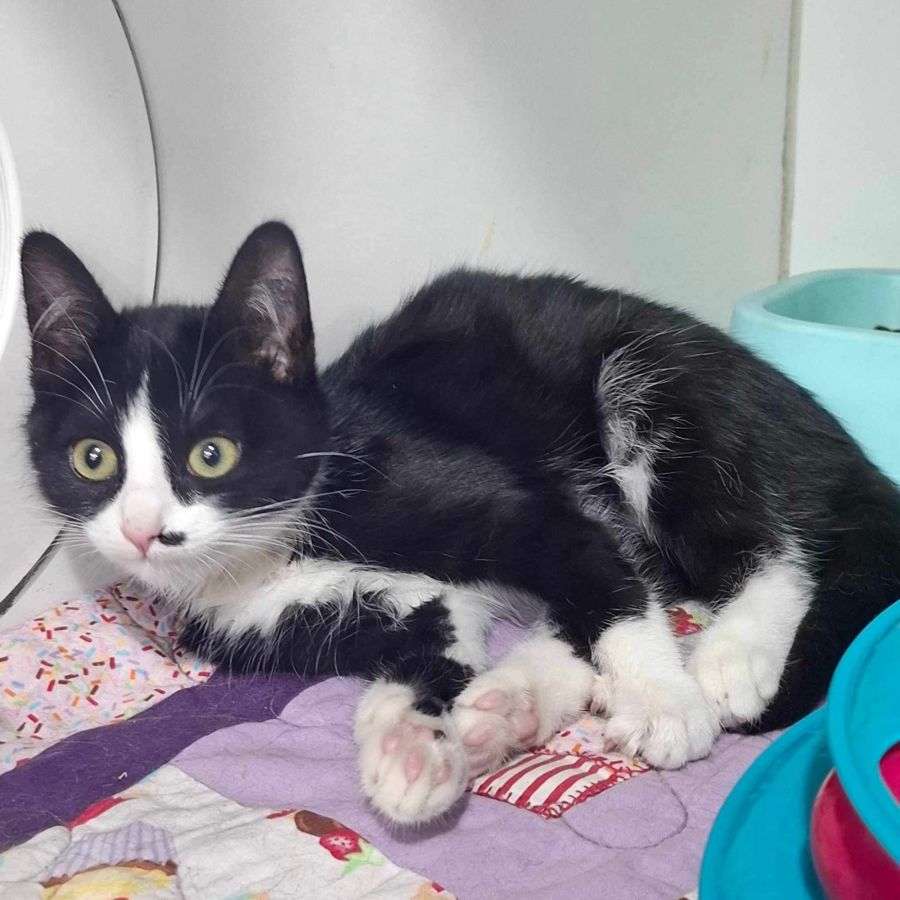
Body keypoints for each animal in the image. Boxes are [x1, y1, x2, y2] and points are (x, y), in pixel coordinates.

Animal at [21, 222, 900, 824]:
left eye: (212, 454)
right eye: (94, 460)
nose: (144, 532)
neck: (283, 538)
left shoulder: (520, 508)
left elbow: (607, 583)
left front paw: (661, 702)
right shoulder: (334, 612)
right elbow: (438, 645)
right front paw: (409, 747)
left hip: (656, 387)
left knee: (768, 549)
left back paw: (725, 659)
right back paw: (505, 706)